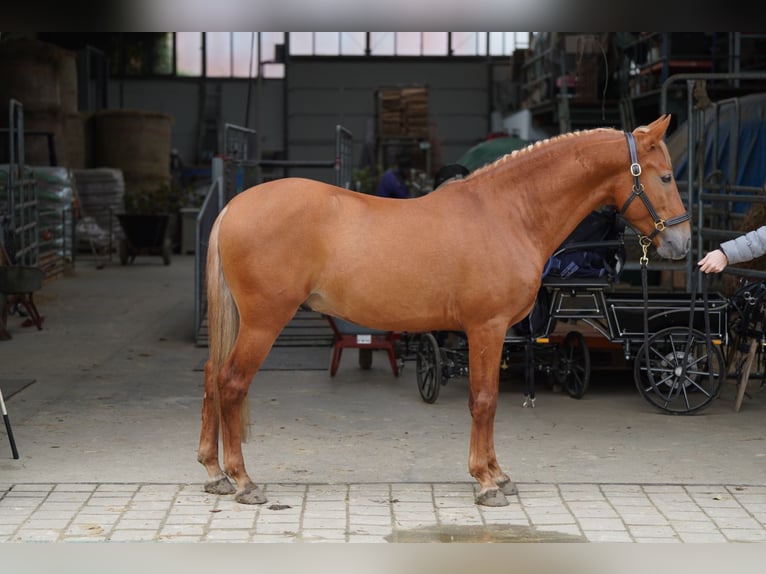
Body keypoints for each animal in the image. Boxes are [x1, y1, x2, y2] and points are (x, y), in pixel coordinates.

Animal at [198, 116, 688, 508]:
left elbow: (489, 400)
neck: (507, 213)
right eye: (665, 177)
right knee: (232, 383)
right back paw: (243, 481)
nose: (680, 244)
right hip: (263, 322)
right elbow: (484, 400)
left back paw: (215, 472)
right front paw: (486, 483)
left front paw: (498, 475)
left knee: (211, 377)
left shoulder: (489, 333)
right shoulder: (486, 329)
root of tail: (235, 205)